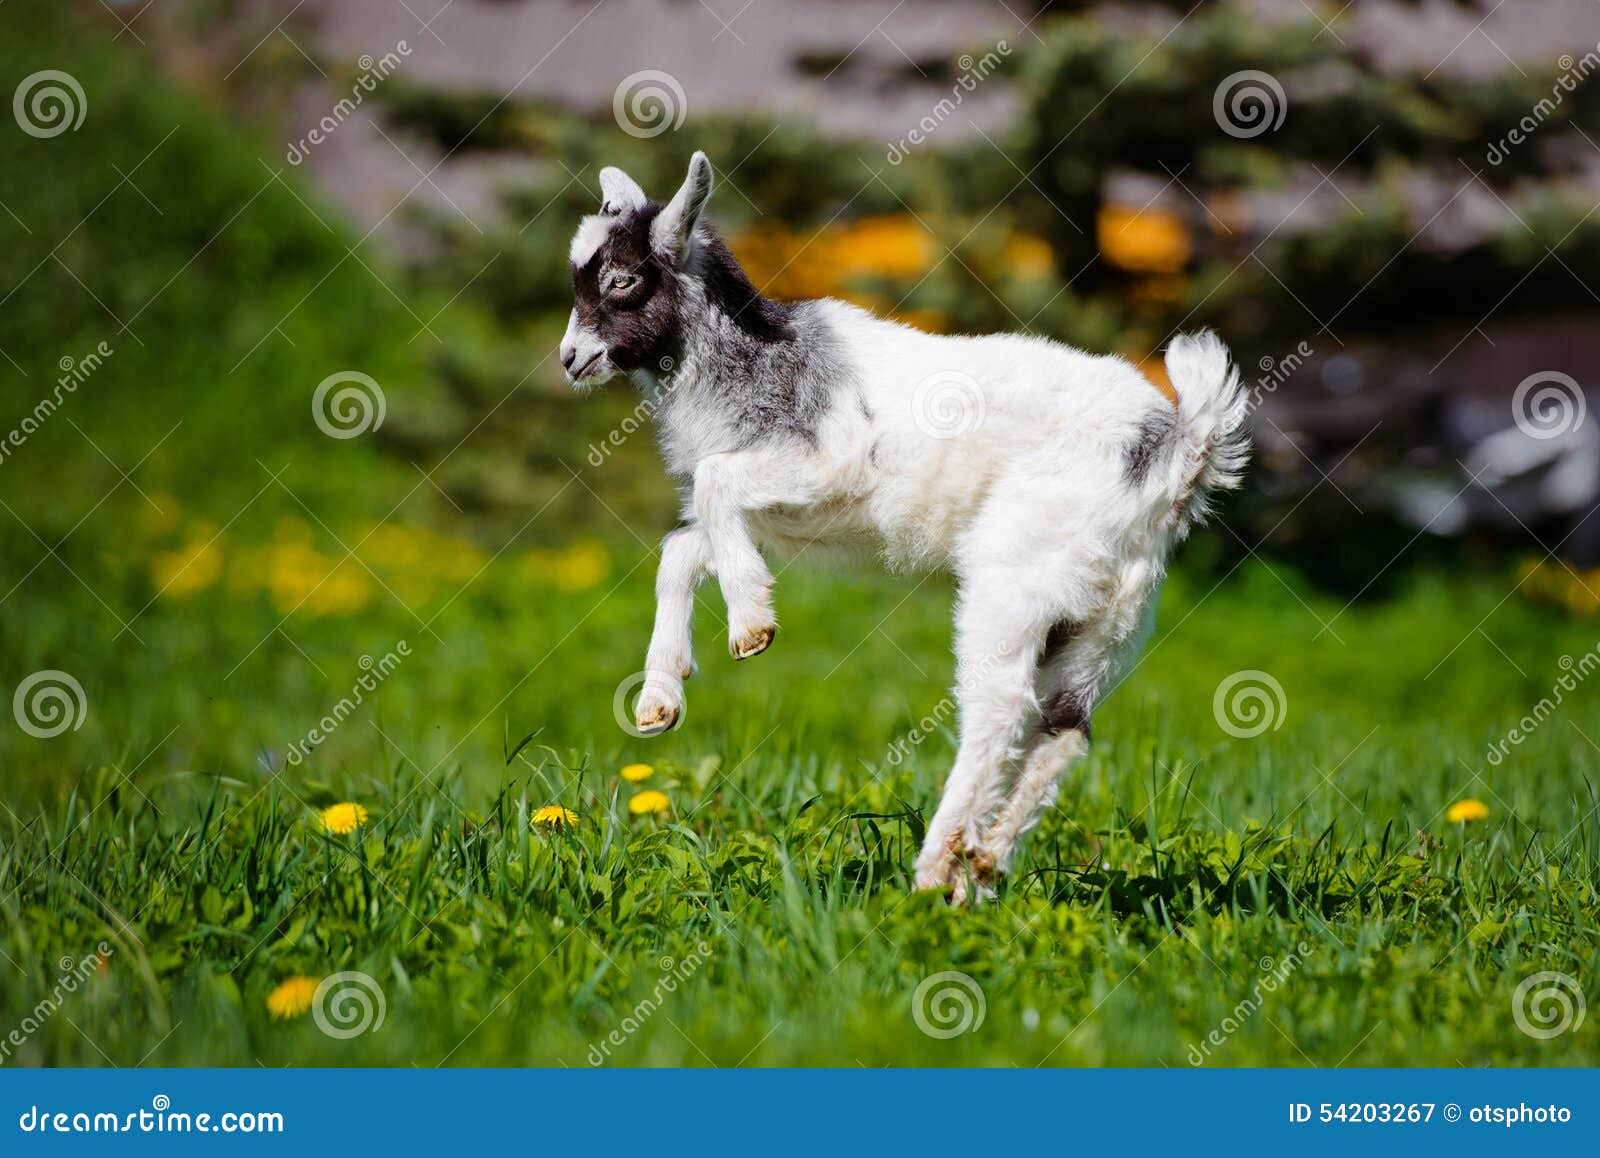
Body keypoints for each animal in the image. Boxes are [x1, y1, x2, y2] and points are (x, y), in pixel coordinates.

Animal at [560, 152, 1250, 901]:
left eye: (622, 279)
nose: (569, 360)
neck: (754, 359)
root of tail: (1174, 451)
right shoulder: (781, 520)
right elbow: (682, 550)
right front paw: (660, 696)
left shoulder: (831, 464)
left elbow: (713, 486)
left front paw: (750, 628)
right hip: (1110, 612)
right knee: (1064, 728)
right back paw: (981, 869)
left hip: (1017, 578)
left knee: (999, 708)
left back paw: (933, 868)